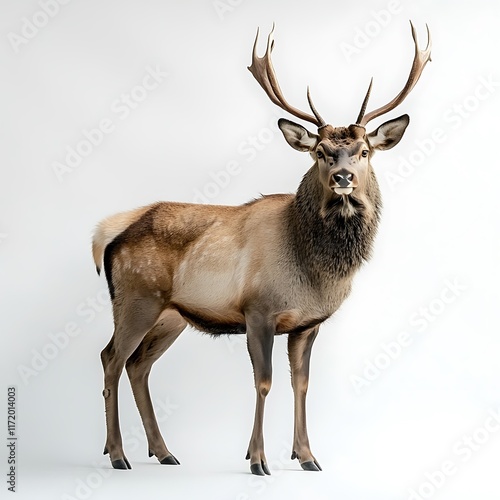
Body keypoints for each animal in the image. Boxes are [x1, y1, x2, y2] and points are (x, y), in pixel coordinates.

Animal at [93, 22, 430, 476]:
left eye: (364, 151)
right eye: (320, 152)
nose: (343, 177)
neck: (314, 272)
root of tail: (109, 235)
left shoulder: (307, 323)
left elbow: (301, 383)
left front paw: (308, 457)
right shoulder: (258, 309)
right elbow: (264, 381)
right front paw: (257, 459)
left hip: (171, 316)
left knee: (137, 365)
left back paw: (163, 452)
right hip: (135, 298)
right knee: (111, 358)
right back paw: (117, 454)